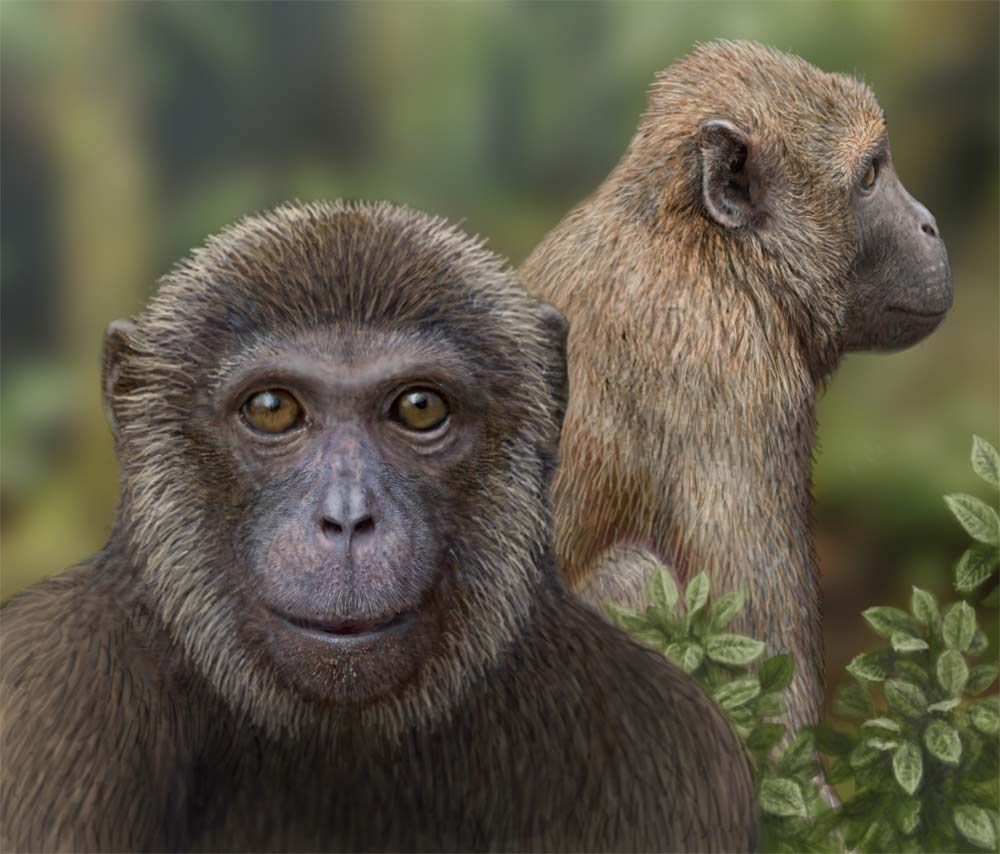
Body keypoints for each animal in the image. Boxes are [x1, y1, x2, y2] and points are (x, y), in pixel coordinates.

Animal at [520, 40, 952, 737]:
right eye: (868, 177)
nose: (929, 224)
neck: (702, 240)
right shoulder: (732, 380)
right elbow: (765, 676)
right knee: (634, 577)